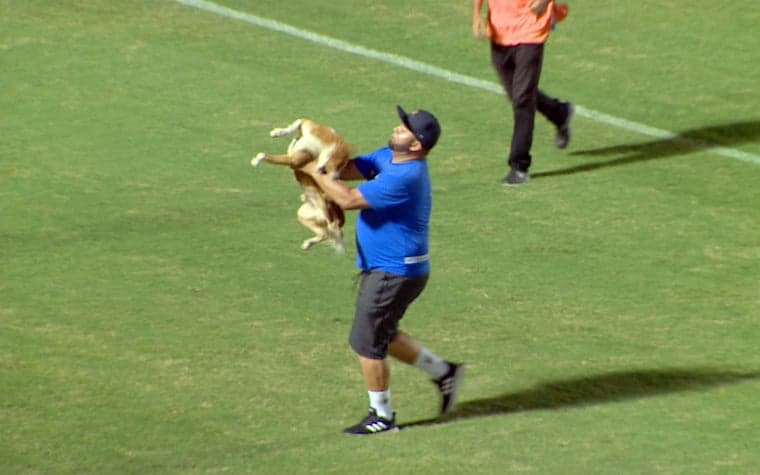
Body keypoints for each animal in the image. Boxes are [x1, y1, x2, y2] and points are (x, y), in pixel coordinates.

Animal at [252, 119, 354, 253]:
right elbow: (298, 123)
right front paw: (278, 132)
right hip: (303, 214)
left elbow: (264, 155)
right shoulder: (307, 128)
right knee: (325, 233)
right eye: (343, 164)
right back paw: (307, 244)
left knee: (332, 228)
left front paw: (256, 161)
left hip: (321, 209)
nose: (334, 179)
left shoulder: (292, 160)